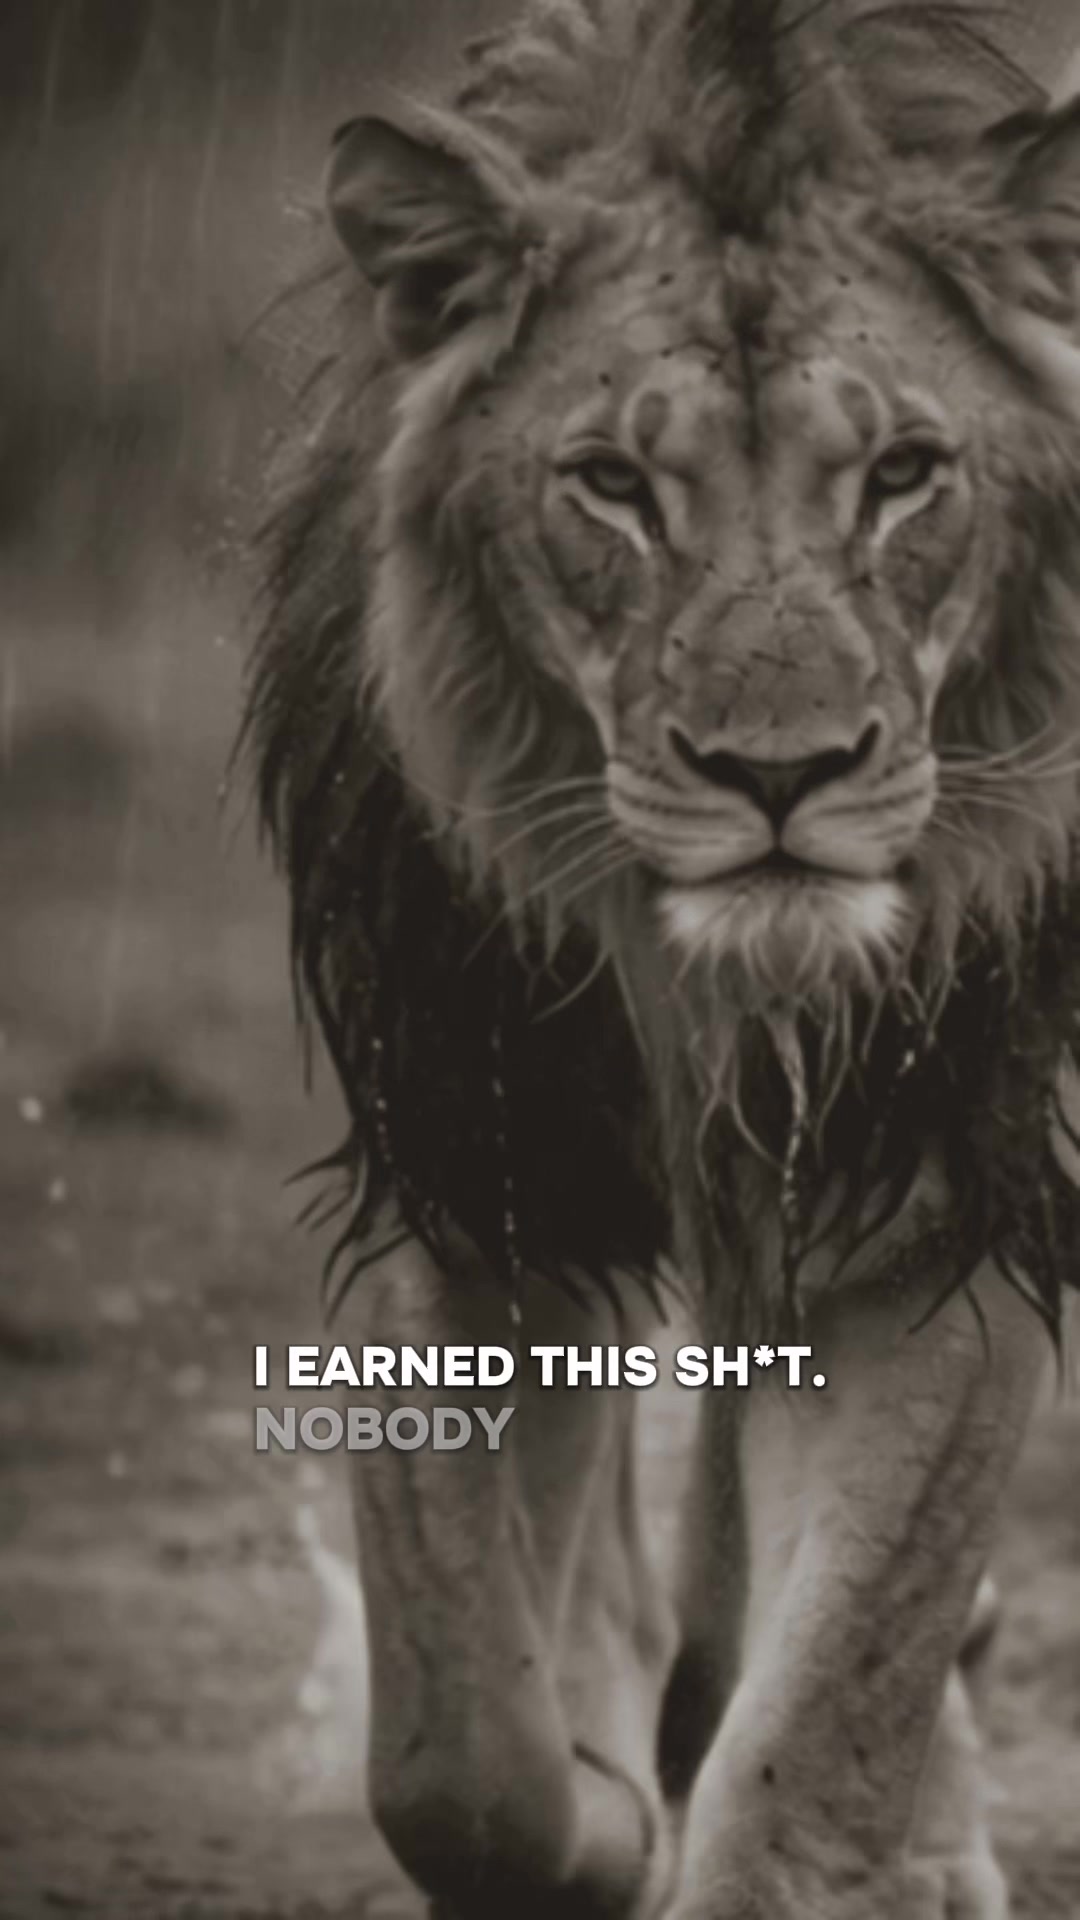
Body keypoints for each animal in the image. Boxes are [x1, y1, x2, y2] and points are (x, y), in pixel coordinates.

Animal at [245, 2, 1080, 1915]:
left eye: (904, 474)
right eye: (613, 486)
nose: (784, 775)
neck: (712, 989)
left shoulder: (935, 1196)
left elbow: (828, 1721)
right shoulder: (468, 1168)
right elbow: (453, 1752)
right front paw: (601, 1802)